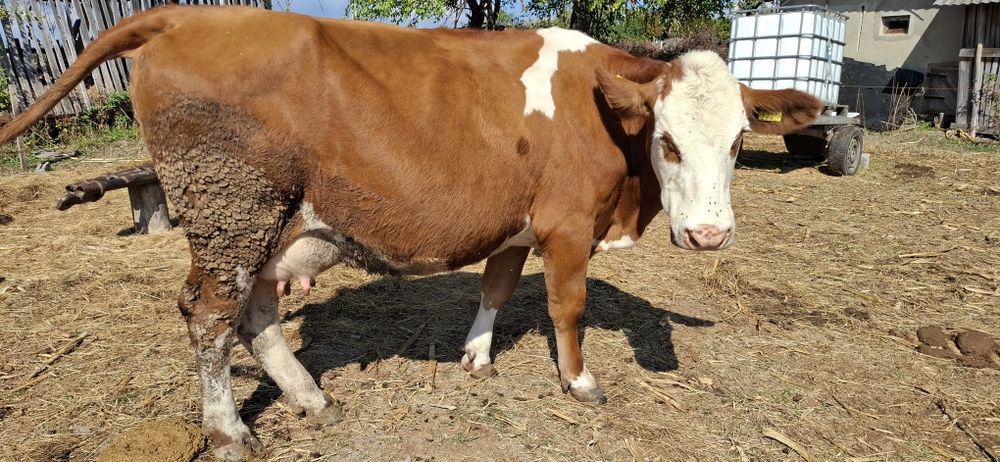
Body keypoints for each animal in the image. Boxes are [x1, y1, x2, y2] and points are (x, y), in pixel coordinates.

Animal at [0, 6, 822, 460]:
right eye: (669, 141)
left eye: (741, 141)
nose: (710, 235)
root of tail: (191, 15)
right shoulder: (565, 227)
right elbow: (568, 307)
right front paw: (580, 381)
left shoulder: (515, 228)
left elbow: (495, 290)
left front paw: (477, 357)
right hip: (231, 209)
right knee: (209, 314)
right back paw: (230, 433)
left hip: (272, 222)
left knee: (256, 313)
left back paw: (311, 399)